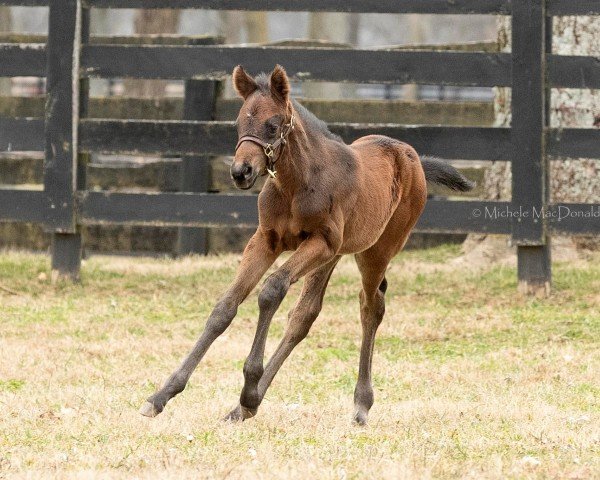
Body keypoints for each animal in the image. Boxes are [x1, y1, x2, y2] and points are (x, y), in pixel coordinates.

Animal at [141, 63, 474, 424]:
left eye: (273, 125)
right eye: (239, 123)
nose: (241, 172)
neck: (296, 184)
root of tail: (413, 158)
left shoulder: (320, 243)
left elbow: (272, 289)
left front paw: (249, 385)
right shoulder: (267, 241)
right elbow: (225, 308)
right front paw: (161, 395)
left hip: (375, 250)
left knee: (371, 306)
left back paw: (360, 404)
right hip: (335, 255)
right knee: (305, 315)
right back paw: (244, 407)